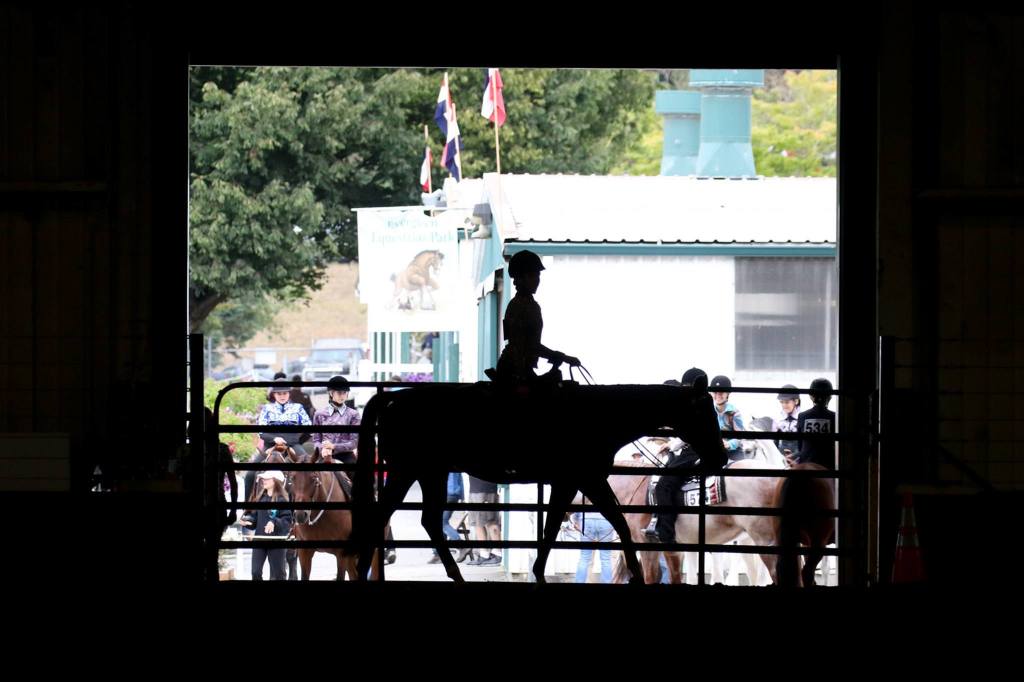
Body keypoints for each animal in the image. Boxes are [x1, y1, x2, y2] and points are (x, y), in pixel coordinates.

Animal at [351, 379, 728, 584]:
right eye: (704, 410)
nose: (721, 457)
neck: (598, 417)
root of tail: (393, 398)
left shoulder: (579, 481)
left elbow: (571, 526)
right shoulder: (581, 479)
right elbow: (601, 523)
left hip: (430, 473)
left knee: (427, 520)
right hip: (408, 471)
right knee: (385, 517)